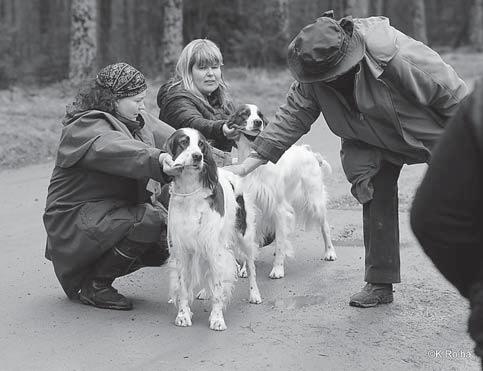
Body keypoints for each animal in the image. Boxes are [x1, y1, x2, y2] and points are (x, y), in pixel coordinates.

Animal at [228, 104, 336, 280]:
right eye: (244, 114)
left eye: (260, 115)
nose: (258, 122)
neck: (256, 169)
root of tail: (308, 151)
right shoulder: (251, 209)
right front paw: (244, 268)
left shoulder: (279, 209)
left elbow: (279, 243)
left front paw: (277, 269)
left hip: (314, 200)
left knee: (324, 225)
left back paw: (330, 252)